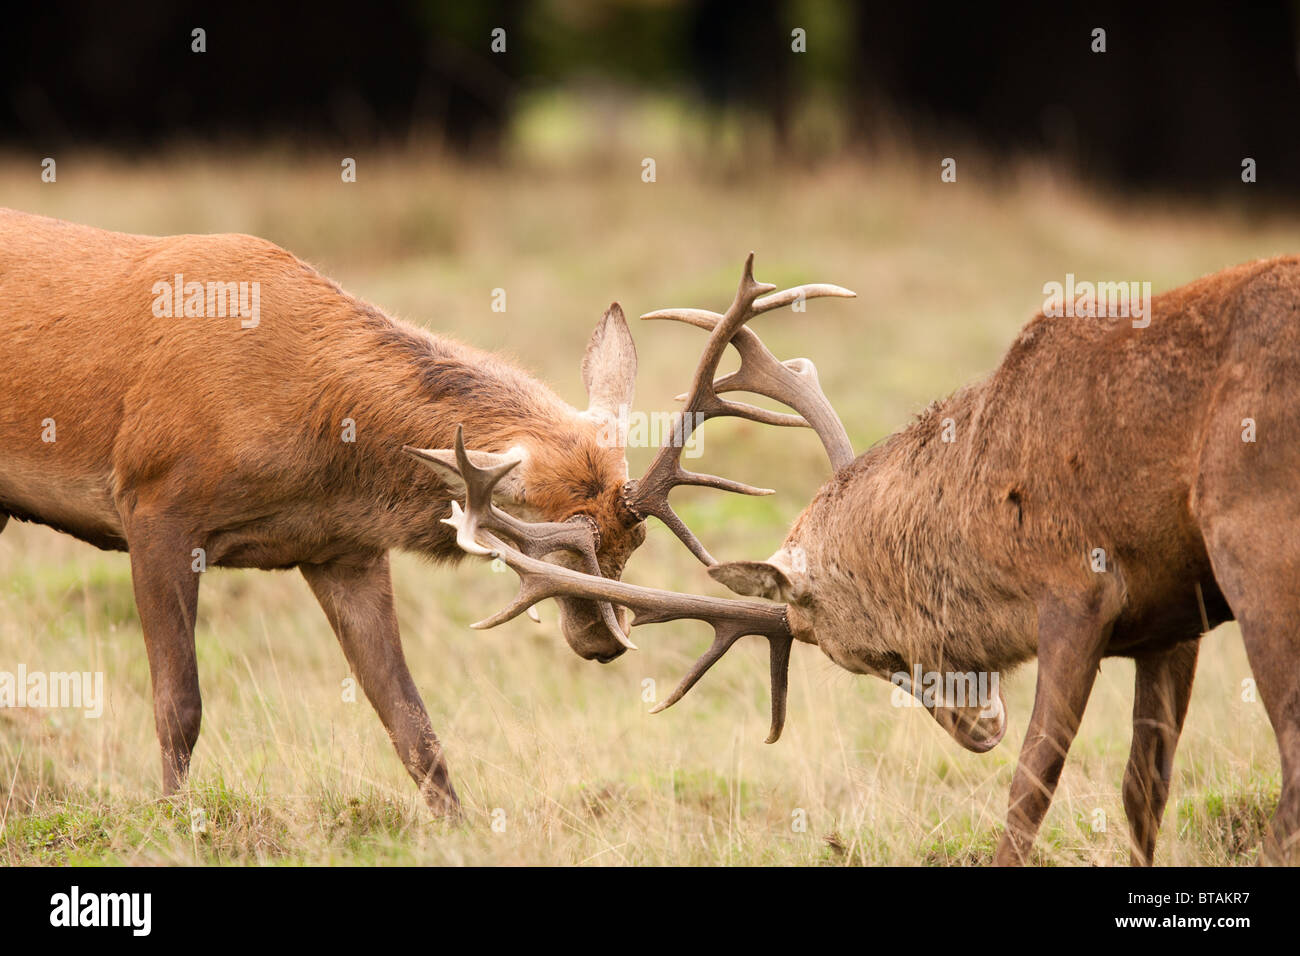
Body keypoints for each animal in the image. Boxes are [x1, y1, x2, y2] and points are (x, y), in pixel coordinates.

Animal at [0, 209, 851, 816]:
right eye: (558, 551)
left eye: (630, 548)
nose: (604, 645)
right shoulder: (154, 502)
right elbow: (180, 705)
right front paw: (175, 822)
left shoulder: (342, 548)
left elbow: (409, 719)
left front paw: (461, 827)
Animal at [445, 252, 1300, 866]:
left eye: (871, 653)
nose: (978, 728)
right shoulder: (1172, 618)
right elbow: (1141, 793)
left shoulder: (1078, 591)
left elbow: (1029, 792)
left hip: (1255, 542)